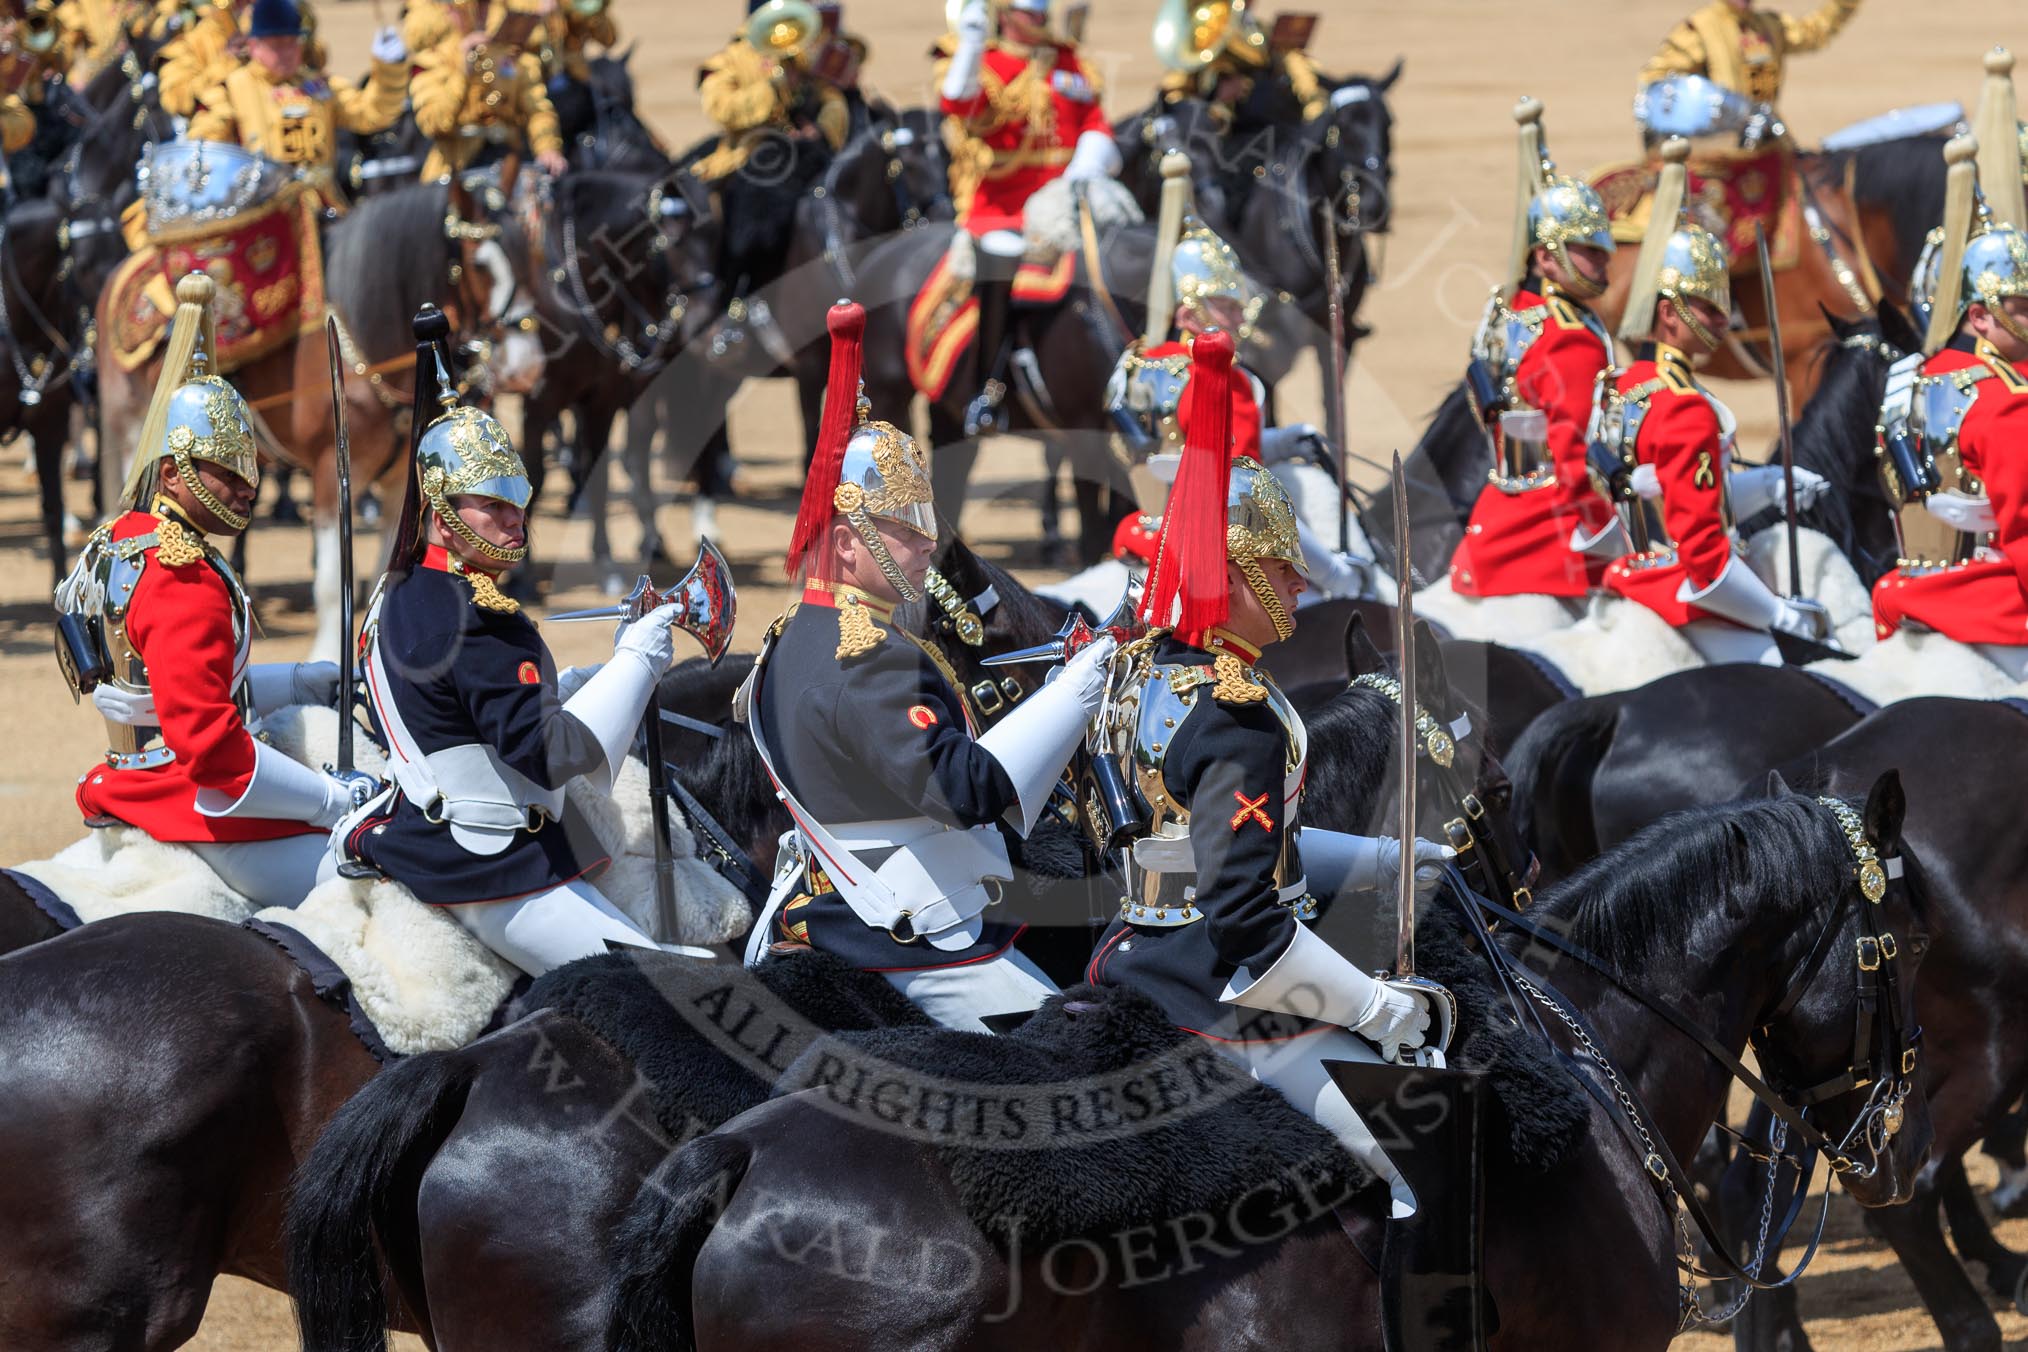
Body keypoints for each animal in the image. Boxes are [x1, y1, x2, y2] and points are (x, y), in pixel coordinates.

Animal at [95, 181, 547, 660]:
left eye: (530, 259)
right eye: (479, 264)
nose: (526, 367)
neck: (367, 345)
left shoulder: (397, 485)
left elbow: (388, 559)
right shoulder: (331, 472)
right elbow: (332, 581)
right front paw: (328, 655)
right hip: (131, 424)